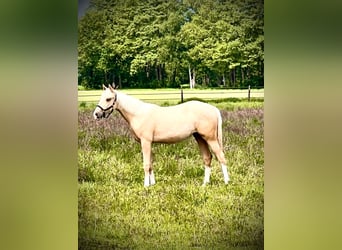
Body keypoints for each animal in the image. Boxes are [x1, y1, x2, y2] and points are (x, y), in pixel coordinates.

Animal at [93, 85, 230, 187]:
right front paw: (152, 184)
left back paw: (227, 182)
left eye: (108, 99)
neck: (138, 113)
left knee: (221, 157)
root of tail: (213, 109)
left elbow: (146, 164)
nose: (96, 114)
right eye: (101, 97)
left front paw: (146, 186)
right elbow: (150, 163)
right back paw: (205, 183)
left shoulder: (146, 142)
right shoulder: (149, 143)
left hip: (211, 139)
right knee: (207, 158)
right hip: (200, 138)